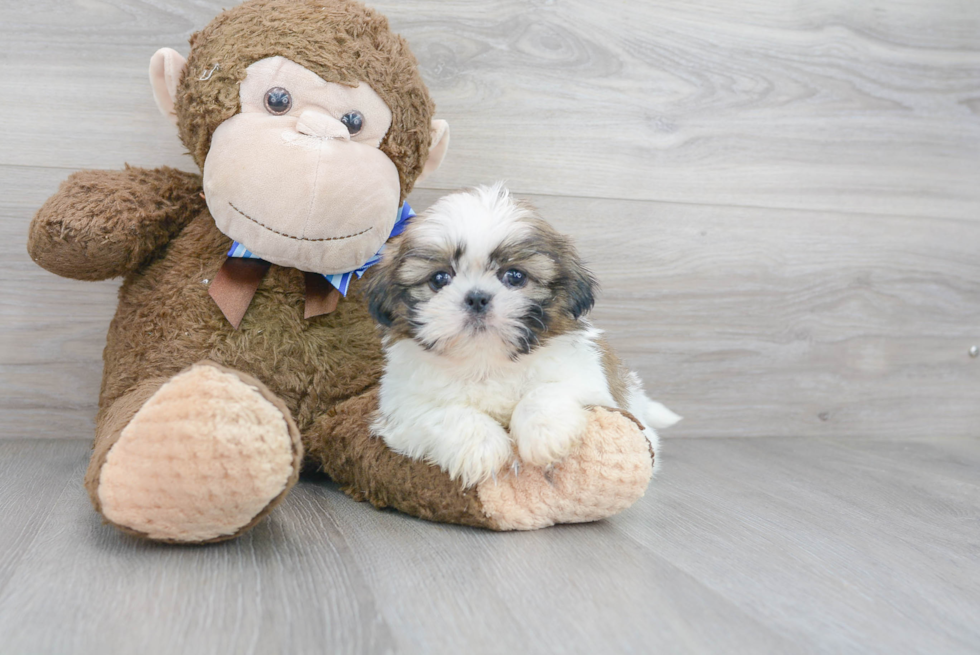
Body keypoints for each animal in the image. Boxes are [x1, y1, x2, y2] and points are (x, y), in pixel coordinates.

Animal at [364, 183, 676, 486]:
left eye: (515, 276)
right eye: (439, 279)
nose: (476, 298)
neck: (486, 362)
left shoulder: (587, 379)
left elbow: (546, 391)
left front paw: (545, 434)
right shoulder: (402, 407)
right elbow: (446, 413)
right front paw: (482, 448)